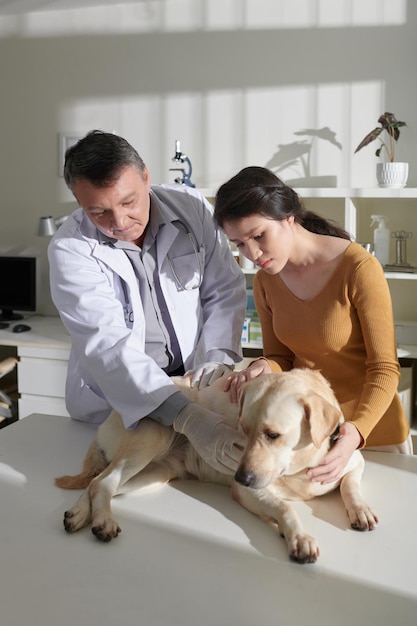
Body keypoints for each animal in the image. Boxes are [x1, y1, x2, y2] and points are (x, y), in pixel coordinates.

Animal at [55, 368, 376, 564]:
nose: (241, 476)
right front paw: (300, 537)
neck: (300, 468)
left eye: (272, 435)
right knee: (102, 481)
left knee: (97, 483)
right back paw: (103, 521)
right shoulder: (247, 492)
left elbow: (350, 486)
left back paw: (80, 514)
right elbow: (285, 507)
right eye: (242, 429)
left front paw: (361, 509)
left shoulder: (354, 461)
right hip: (153, 437)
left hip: (153, 475)